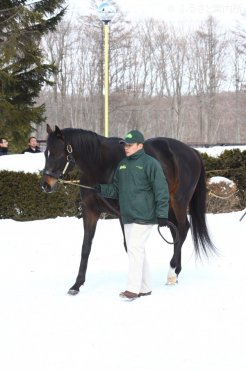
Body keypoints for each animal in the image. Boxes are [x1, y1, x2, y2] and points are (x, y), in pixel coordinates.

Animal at [41, 124, 214, 294]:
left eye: (57, 154)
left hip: (178, 201)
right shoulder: (90, 212)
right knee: (175, 231)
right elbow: (86, 247)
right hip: (166, 206)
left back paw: (172, 272)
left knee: (183, 229)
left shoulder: (123, 215)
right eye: (45, 153)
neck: (101, 165)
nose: (45, 185)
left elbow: (128, 245)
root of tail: (192, 151)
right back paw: (176, 271)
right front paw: (77, 284)